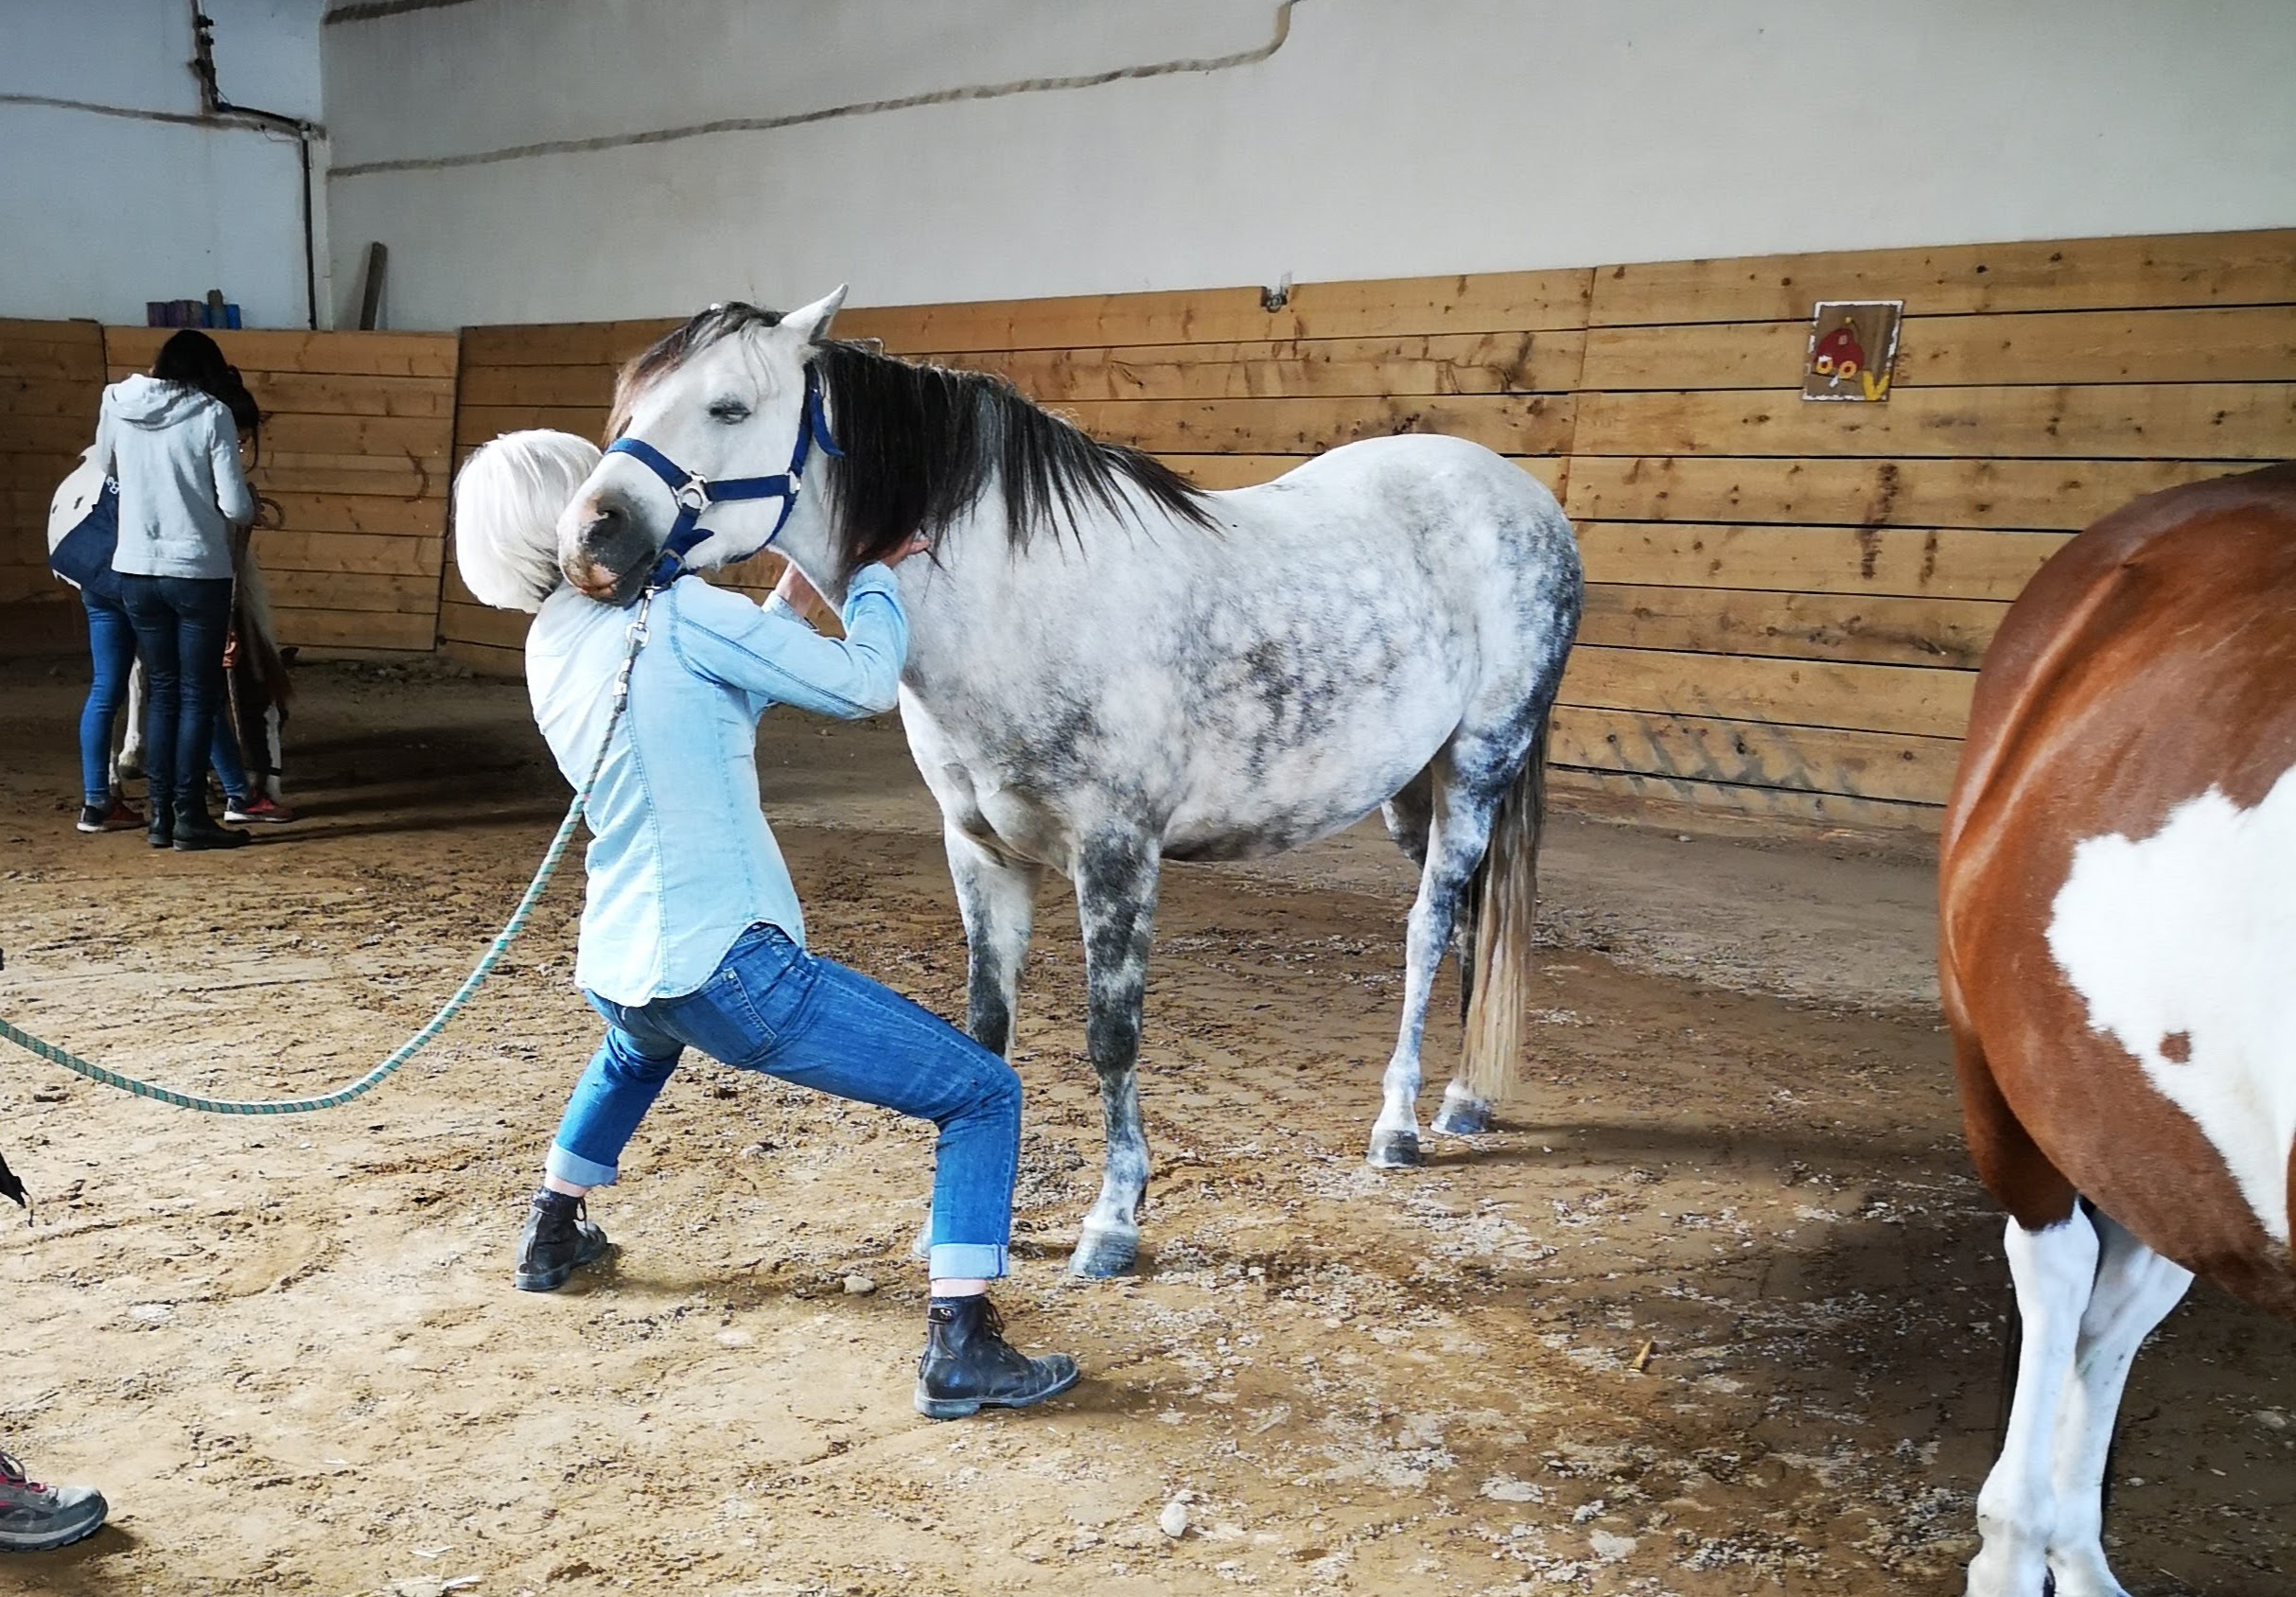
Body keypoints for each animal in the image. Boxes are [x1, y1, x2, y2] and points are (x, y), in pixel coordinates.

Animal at [465, 293, 1579, 1275]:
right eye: (629, 408)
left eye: (730, 407)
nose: (590, 540)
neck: (1019, 600)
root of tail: (1521, 497)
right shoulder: (981, 849)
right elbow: (986, 1027)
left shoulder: (1117, 853)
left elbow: (1110, 1037)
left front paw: (1111, 1223)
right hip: (1410, 790)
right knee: (1468, 918)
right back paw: (1465, 1097)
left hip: (1479, 764)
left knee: (1428, 927)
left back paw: (1401, 1121)